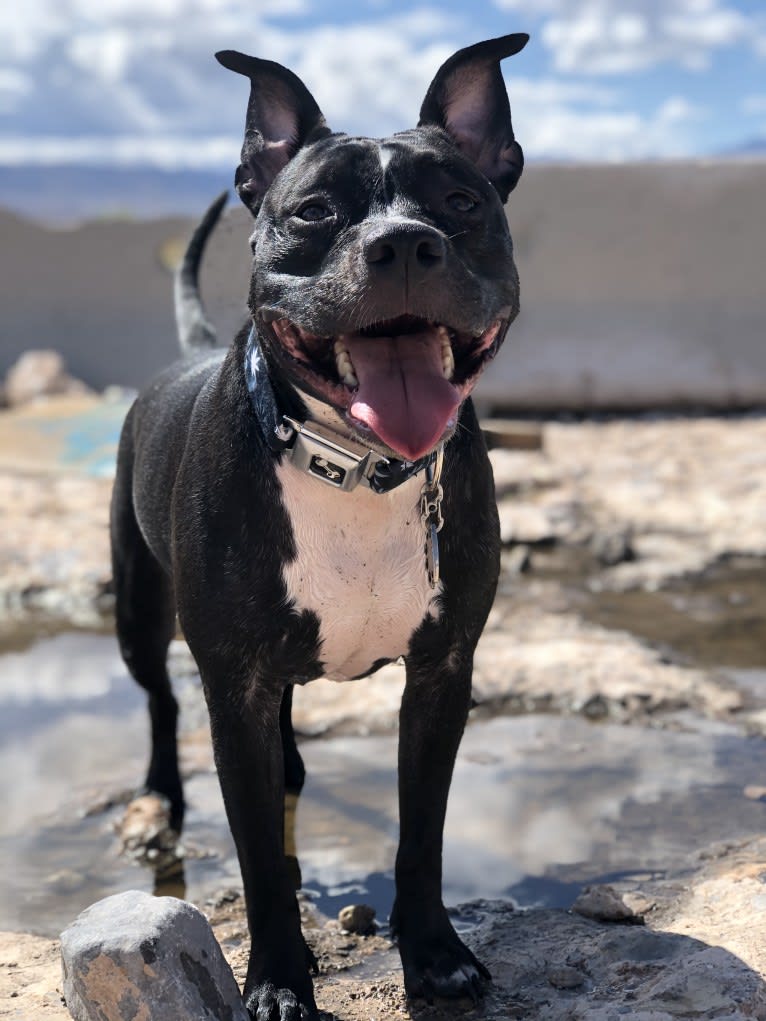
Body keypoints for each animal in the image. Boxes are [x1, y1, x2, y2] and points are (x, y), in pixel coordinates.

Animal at [112, 31, 527, 1021]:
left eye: (461, 203)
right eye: (314, 212)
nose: (402, 243)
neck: (355, 465)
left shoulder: (442, 675)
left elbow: (423, 832)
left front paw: (435, 952)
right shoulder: (234, 686)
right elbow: (263, 860)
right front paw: (276, 980)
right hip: (138, 614)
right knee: (160, 702)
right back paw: (160, 797)